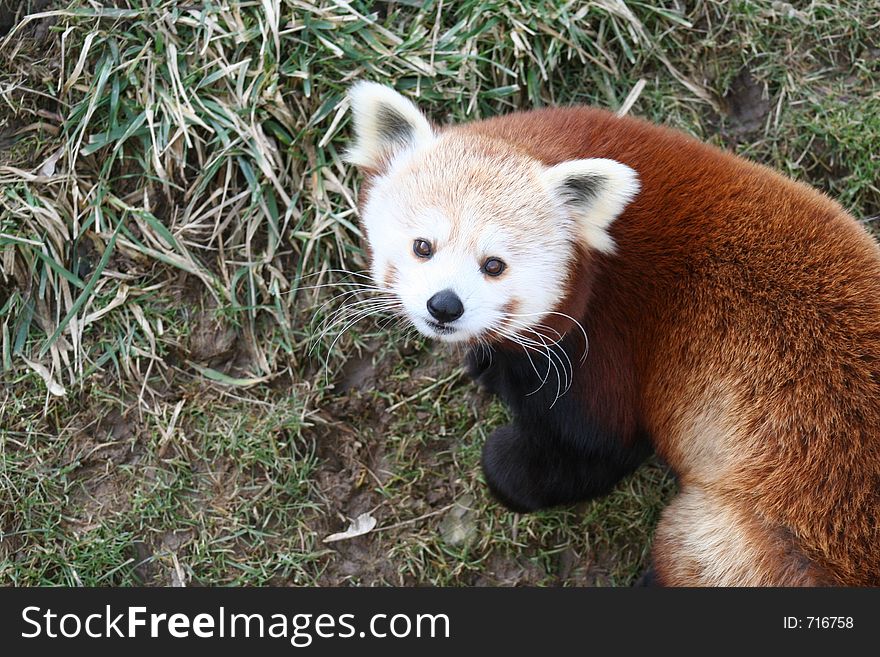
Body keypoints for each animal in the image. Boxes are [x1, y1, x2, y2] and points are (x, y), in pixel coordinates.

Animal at [342, 80, 880, 584]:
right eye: (423, 246)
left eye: (493, 265)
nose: (445, 305)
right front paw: (487, 360)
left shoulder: (608, 341)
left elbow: (599, 448)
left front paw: (506, 450)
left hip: (760, 535)